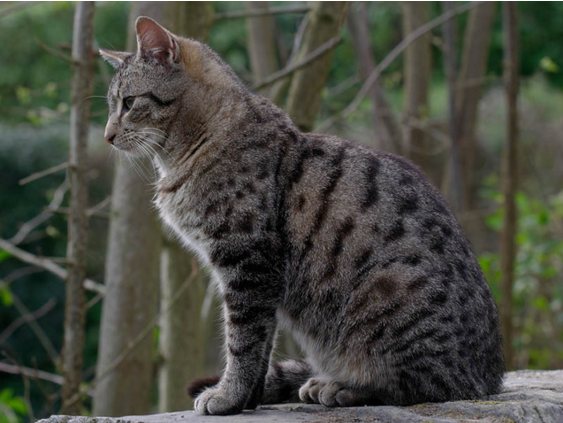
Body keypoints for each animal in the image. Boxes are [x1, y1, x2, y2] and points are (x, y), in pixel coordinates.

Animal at [101, 17, 506, 418]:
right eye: (112, 105)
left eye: (128, 102)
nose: (106, 136)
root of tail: (490, 380)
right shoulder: (254, 276)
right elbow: (260, 344)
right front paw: (250, 397)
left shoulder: (248, 260)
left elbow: (242, 341)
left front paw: (229, 395)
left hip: (386, 294)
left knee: (423, 384)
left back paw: (341, 386)